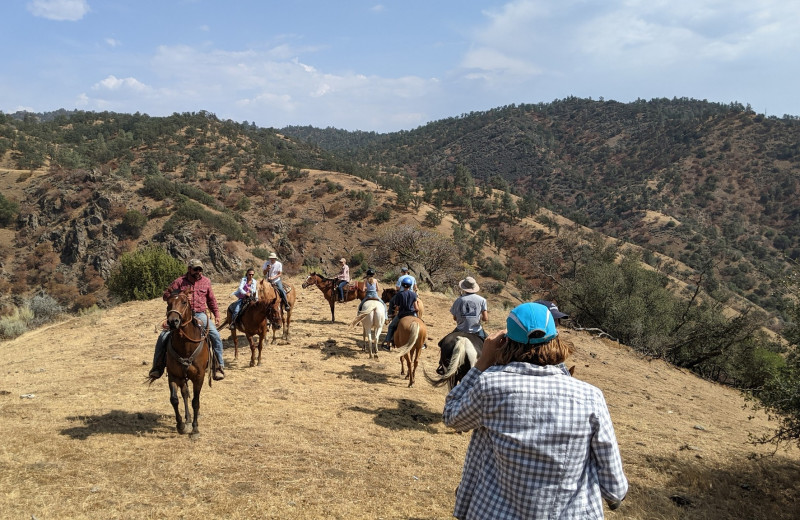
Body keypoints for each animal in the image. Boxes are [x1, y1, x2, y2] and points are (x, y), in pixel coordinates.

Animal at [163, 286, 211, 436]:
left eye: (184, 302)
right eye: (168, 303)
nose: (172, 321)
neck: (186, 347)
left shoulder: (199, 377)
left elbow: (195, 401)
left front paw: (195, 429)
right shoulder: (173, 375)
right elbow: (174, 399)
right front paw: (181, 425)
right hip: (182, 377)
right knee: (184, 394)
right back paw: (188, 419)